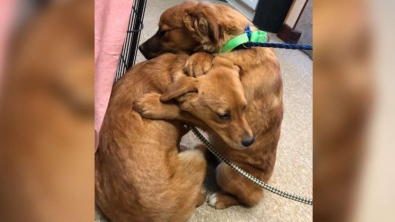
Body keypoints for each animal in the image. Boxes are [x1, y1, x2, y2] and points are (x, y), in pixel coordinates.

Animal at [95, 52, 254, 222]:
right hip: (197, 158)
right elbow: (183, 112)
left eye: (244, 107)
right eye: (223, 116)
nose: (250, 141)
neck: (171, 73)